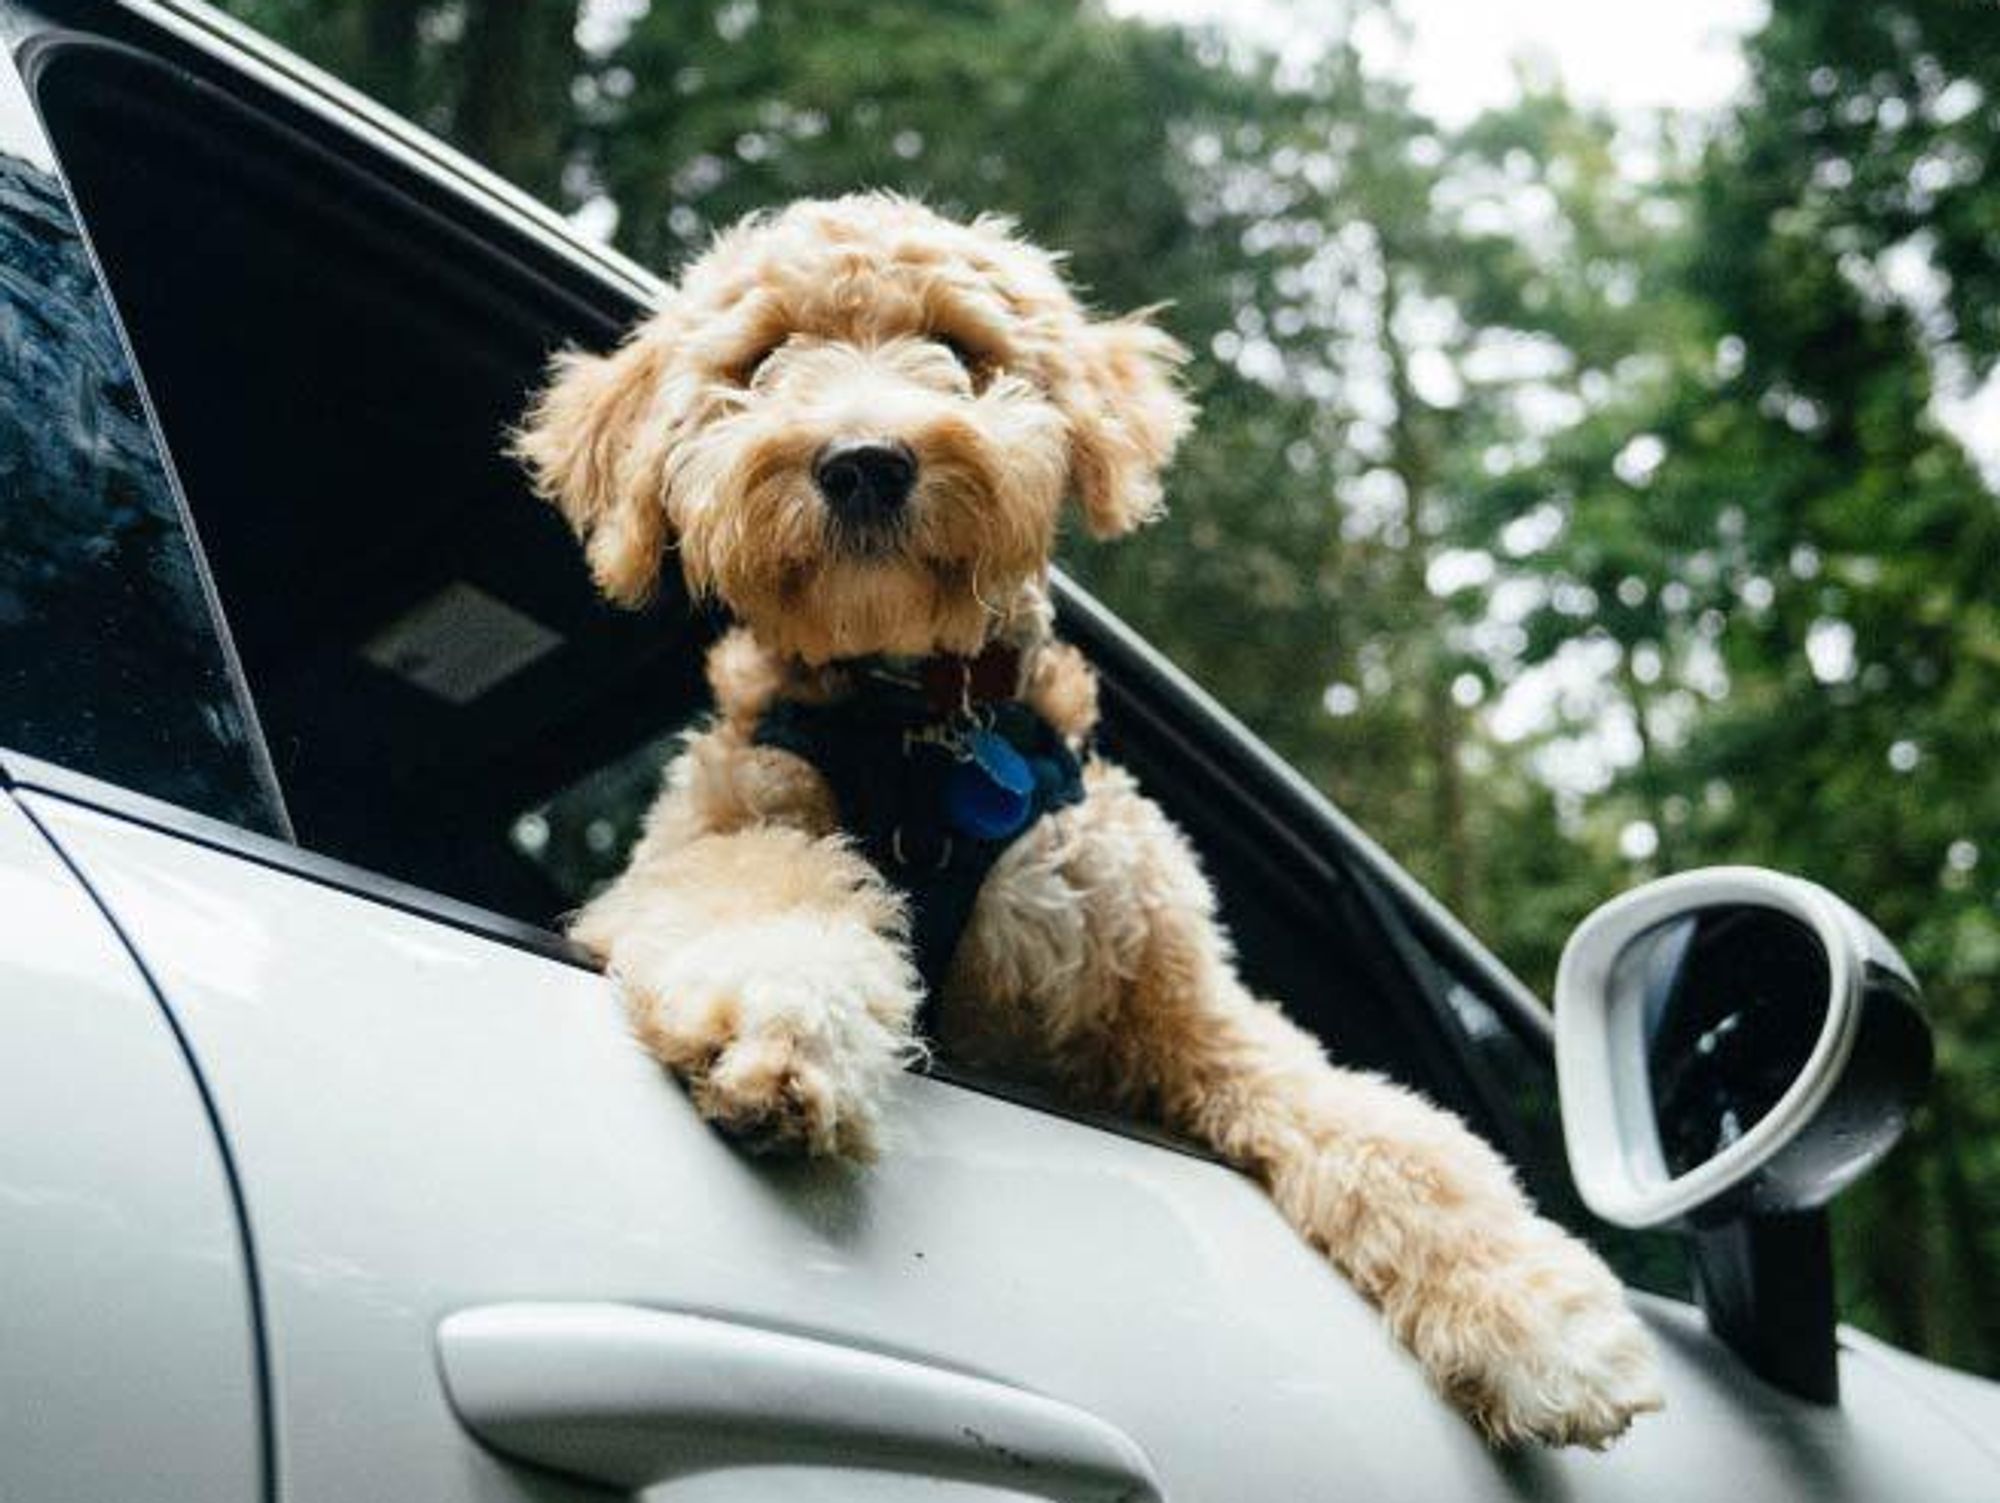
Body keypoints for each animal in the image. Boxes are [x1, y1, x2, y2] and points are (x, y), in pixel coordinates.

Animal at [512, 190, 1656, 1447]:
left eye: (956, 344)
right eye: (762, 357)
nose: (863, 464)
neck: (922, 730)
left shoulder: (1185, 1006)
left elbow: (1383, 1127)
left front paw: (1537, 1320)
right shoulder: (693, 850)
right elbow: (764, 886)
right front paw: (778, 1020)